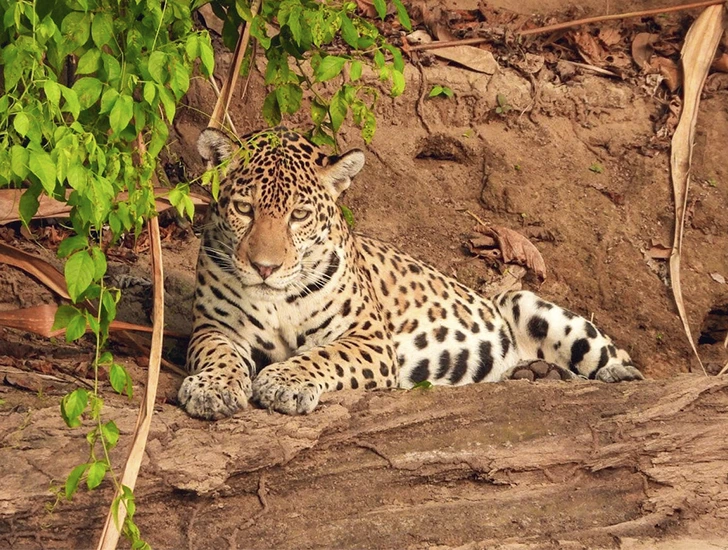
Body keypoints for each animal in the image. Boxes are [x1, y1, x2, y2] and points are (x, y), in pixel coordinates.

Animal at [177, 127, 644, 420]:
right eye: (244, 209)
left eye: (299, 216)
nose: (265, 267)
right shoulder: (214, 328)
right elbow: (218, 354)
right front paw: (212, 388)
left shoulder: (368, 338)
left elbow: (322, 355)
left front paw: (283, 381)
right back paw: (536, 374)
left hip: (525, 303)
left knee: (615, 360)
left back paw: (611, 377)